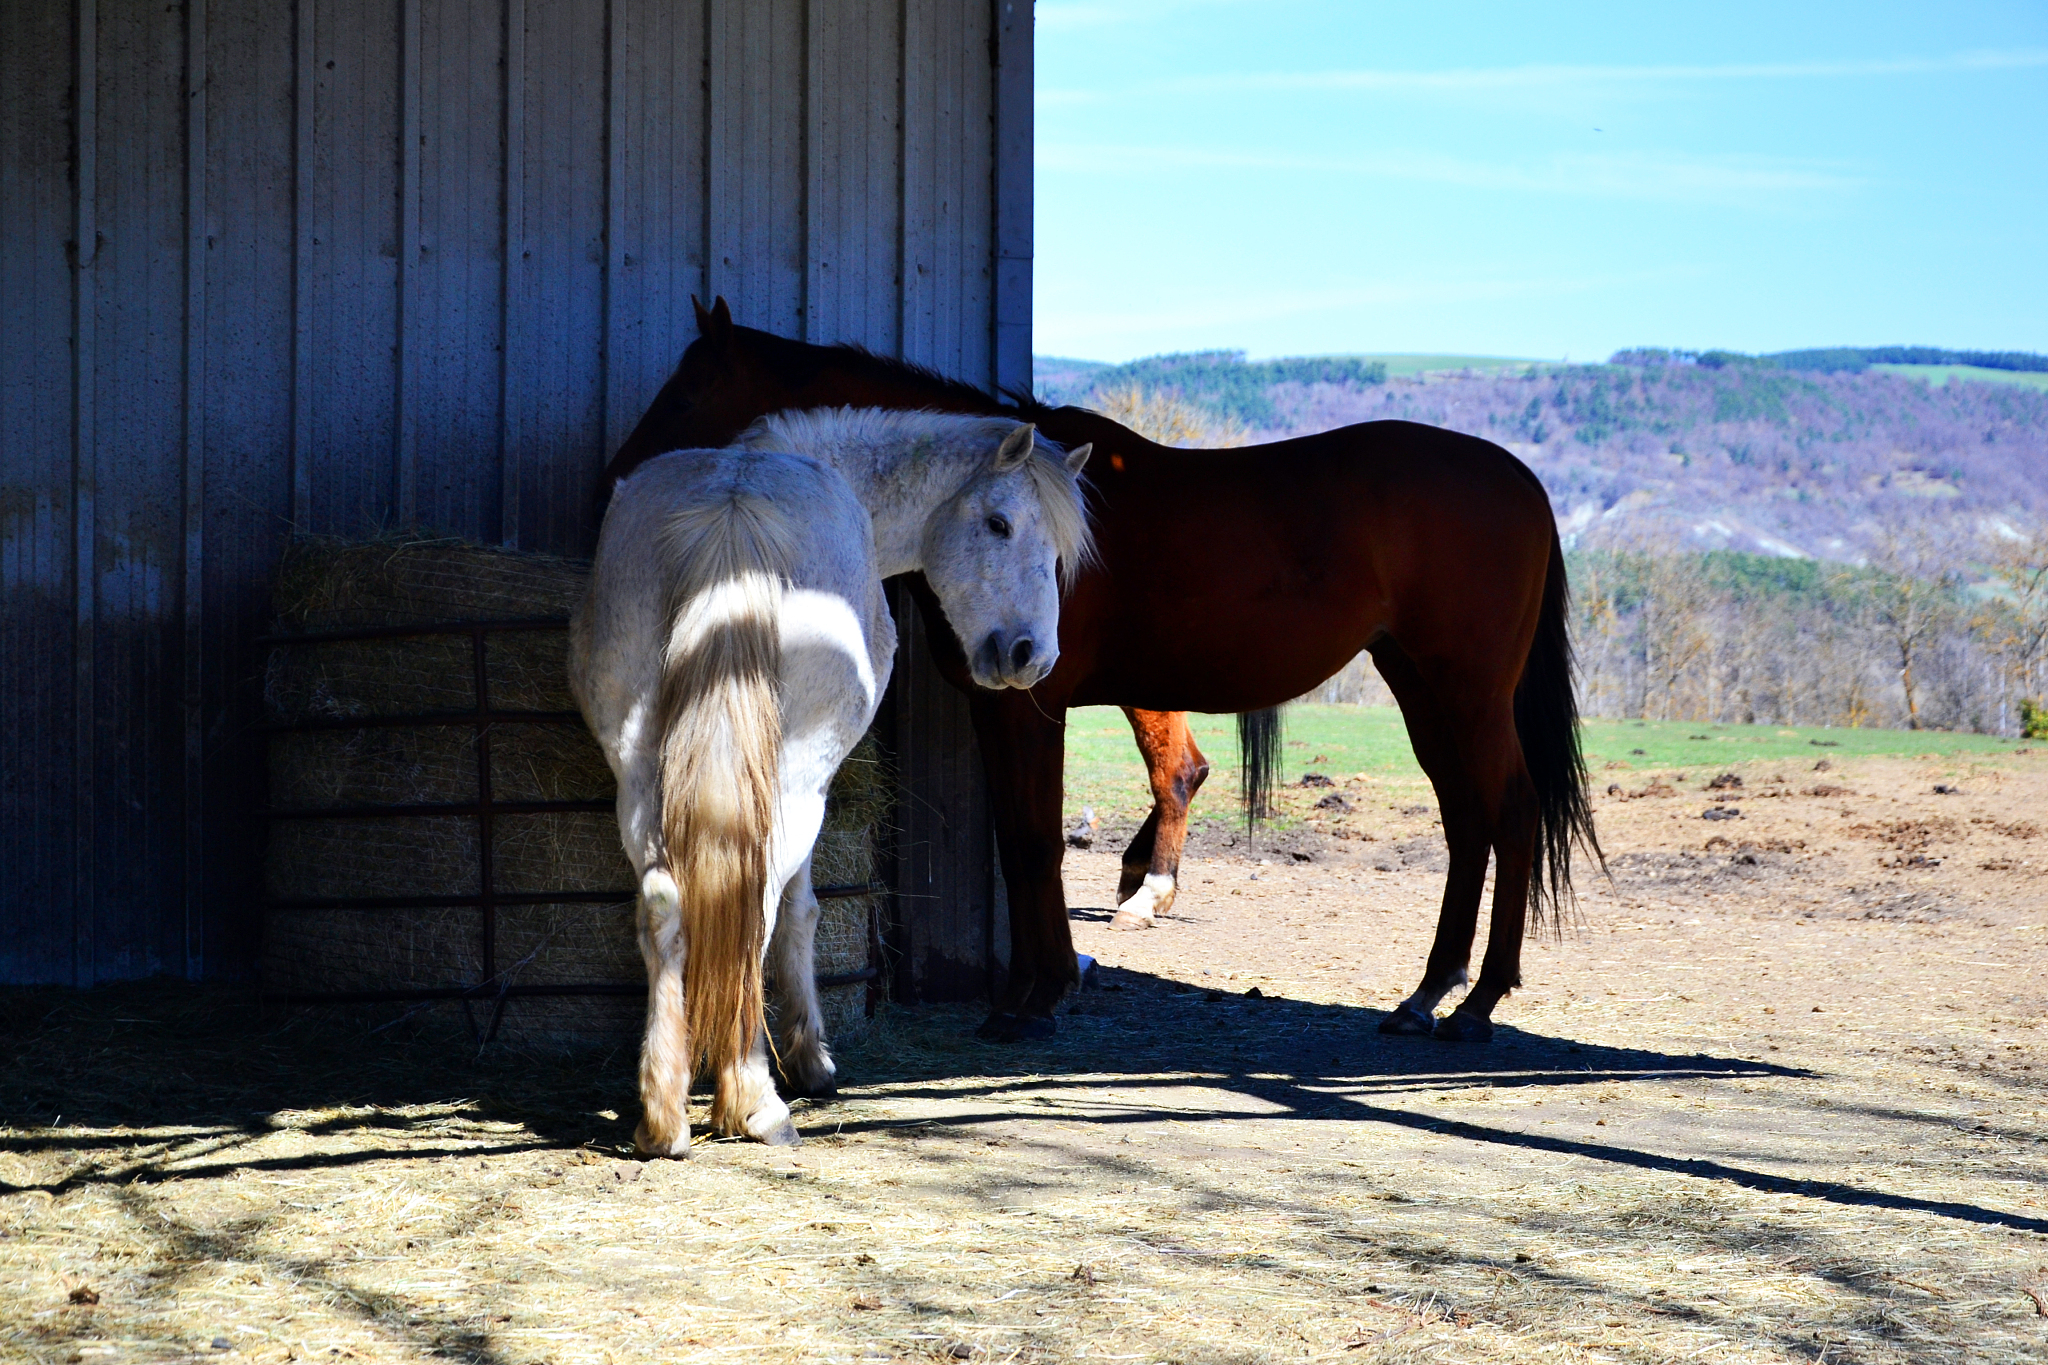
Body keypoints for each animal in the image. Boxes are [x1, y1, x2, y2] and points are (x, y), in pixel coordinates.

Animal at [571, 407, 1092, 1153]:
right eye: (999, 523)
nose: (1031, 656)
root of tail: (734, 510)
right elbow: (802, 910)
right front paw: (810, 1059)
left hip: (639, 771)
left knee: (664, 902)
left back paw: (662, 1115)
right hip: (794, 784)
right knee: (753, 902)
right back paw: (756, 1099)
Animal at [605, 298, 1601, 1047]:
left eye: (693, 384)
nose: (616, 472)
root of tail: (1524, 483)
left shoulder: (1031, 704)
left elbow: (1034, 842)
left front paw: (1039, 996)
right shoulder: (999, 706)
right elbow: (1017, 842)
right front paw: (1028, 991)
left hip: (1467, 692)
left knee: (1509, 812)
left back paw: (1477, 1002)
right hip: (1421, 687)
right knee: (1467, 821)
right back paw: (1427, 992)